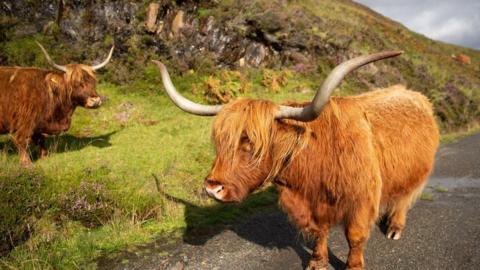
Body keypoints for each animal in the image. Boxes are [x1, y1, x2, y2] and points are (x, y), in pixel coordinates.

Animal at [153, 51, 438, 270]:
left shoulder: (361, 199)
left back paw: (395, 228)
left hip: (416, 174)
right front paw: (317, 262)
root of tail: (414, 95)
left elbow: (355, 236)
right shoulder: (314, 203)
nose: (213, 187)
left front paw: (354, 266)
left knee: (403, 200)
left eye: (251, 142)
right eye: (220, 142)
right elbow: (320, 232)